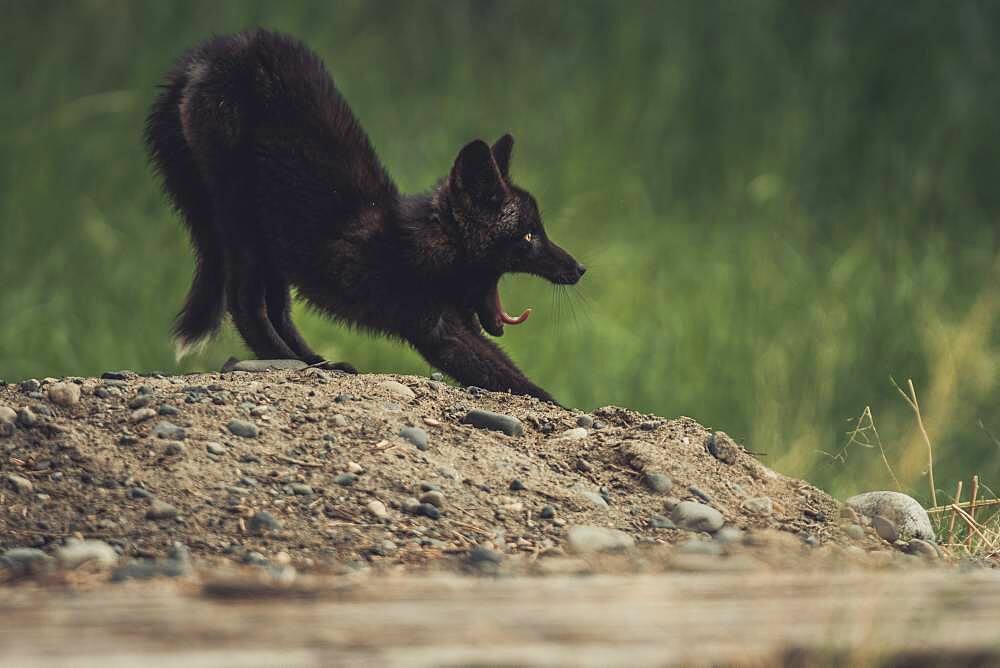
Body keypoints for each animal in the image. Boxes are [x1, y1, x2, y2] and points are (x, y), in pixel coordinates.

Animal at [144, 30, 584, 402]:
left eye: (539, 231)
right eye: (528, 236)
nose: (579, 269)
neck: (430, 246)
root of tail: (219, 48)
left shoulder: (461, 322)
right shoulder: (438, 331)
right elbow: (515, 380)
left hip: (274, 242)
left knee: (277, 311)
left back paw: (317, 363)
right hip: (240, 218)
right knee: (244, 302)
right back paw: (298, 361)